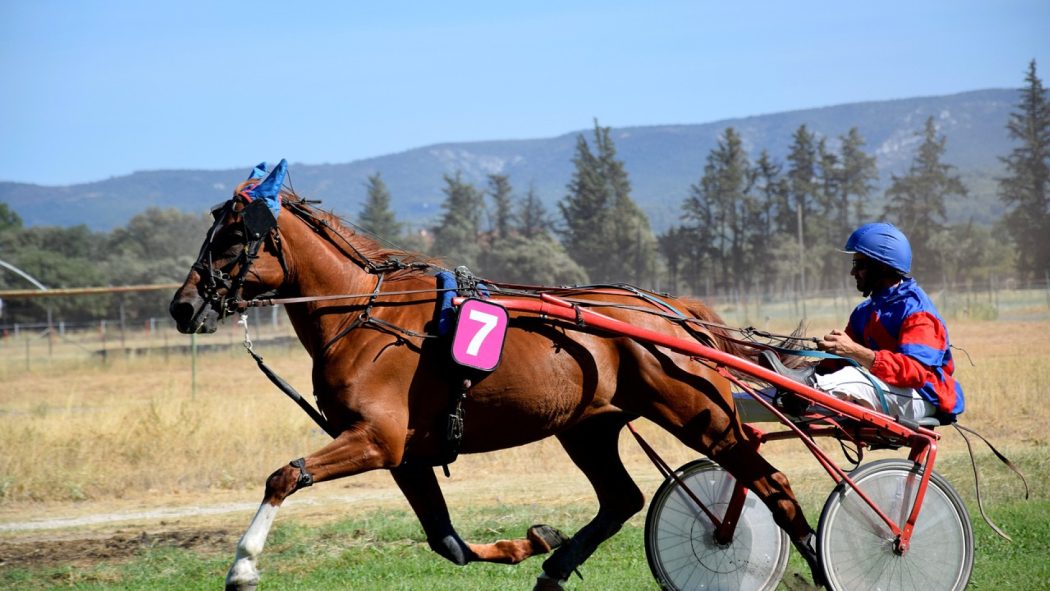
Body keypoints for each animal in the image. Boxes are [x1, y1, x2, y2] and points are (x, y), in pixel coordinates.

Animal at [170, 174, 818, 587]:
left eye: (232, 238)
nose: (182, 306)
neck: (364, 314)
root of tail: (671, 309)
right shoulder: (406, 455)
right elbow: (447, 543)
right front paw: (532, 542)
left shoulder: (377, 440)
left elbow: (284, 476)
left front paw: (243, 566)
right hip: (588, 428)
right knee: (623, 499)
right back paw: (555, 569)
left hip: (700, 417)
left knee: (773, 483)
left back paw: (816, 556)